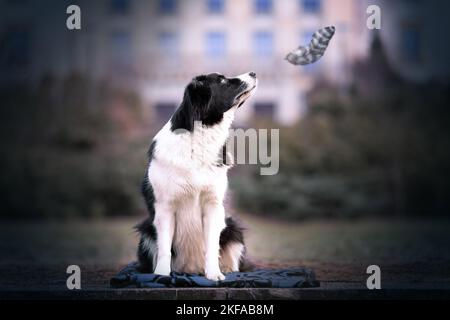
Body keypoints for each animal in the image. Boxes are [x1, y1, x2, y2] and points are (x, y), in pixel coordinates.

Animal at [136, 71, 256, 278]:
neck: (200, 137)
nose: (253, 73)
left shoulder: (213, 205)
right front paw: (161, 274)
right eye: (222, 80)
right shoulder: (164, 207)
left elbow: (212, 246)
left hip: (233, 228)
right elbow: (164, 248)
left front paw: (214, 274)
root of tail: (191, 269)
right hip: (146, 230)